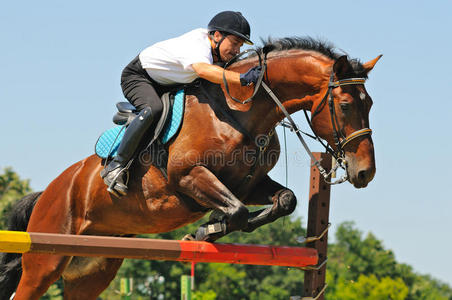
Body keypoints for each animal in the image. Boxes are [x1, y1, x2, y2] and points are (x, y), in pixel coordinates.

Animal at [0, 36, 382, 298]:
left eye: (370, 104)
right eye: (345, 105)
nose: (365, 173)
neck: (239, 112)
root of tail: (48, 192)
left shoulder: (250, 184)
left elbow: (284, 200)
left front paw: (212, 228)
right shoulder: (188, 177)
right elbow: (237, 210)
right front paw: (209, 228)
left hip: (92, 271)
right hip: (45, 261)